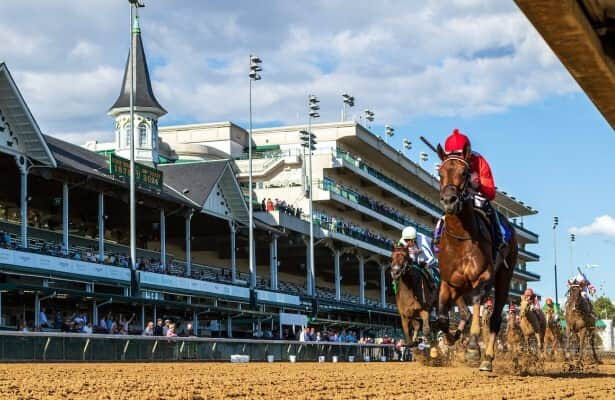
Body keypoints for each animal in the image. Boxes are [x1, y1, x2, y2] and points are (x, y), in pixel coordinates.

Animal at [436, 144, 516, 372]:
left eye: (464, 173)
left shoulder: (484, 278)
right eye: (440, 173)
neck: (460, 240)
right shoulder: (448, 282)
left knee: (495, 318)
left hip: (504, 276)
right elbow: (443, 317)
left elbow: (478, 305)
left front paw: (472, 347)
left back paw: (487, 358)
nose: (449, 201)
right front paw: (451, 337)